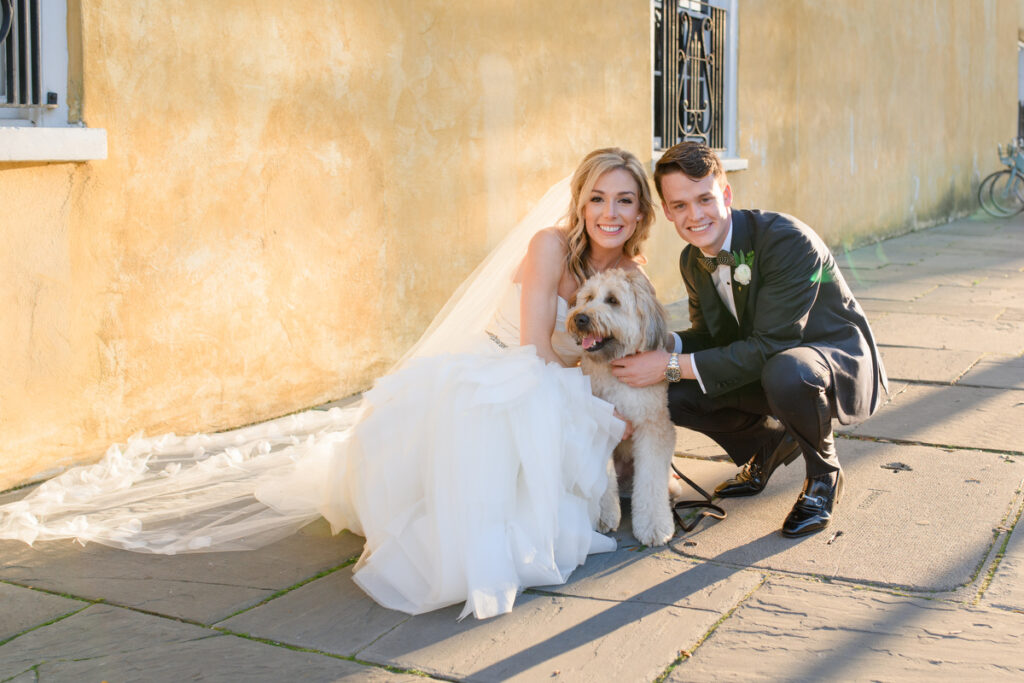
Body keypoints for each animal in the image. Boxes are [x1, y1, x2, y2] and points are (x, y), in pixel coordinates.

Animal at [569, 266, 679, 544]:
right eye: (588, 297)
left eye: (613, 300)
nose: (580, 318)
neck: (613, 366)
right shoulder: (599, 425)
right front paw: (602, 517)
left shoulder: (653, 426)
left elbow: (650, 481)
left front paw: (654, 526)